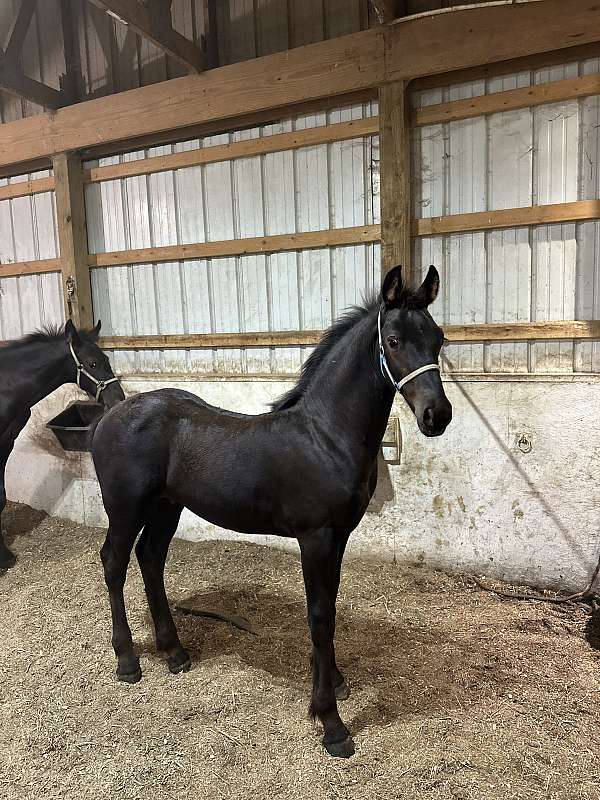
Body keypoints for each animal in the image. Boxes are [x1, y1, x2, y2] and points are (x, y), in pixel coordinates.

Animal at [0, 318, 123, 568]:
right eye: (93, 364)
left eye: (107, 360)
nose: (119, 398)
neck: (5, 386)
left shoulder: (6, 441)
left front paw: (4, 555)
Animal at [92, 268, 450, 756]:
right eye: (393, 341)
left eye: (439, 338)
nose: (438, 415)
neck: (325, 435)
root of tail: (111, 415)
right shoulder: (316, 538)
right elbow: (319, 618)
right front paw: (331, 724)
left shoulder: (338, 537)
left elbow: (328, 608)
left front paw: (336, 682)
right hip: (126, 507)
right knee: (114, 562)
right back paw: (128, 660)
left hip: (167, 506)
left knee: (150, 559)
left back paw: (174, 652)